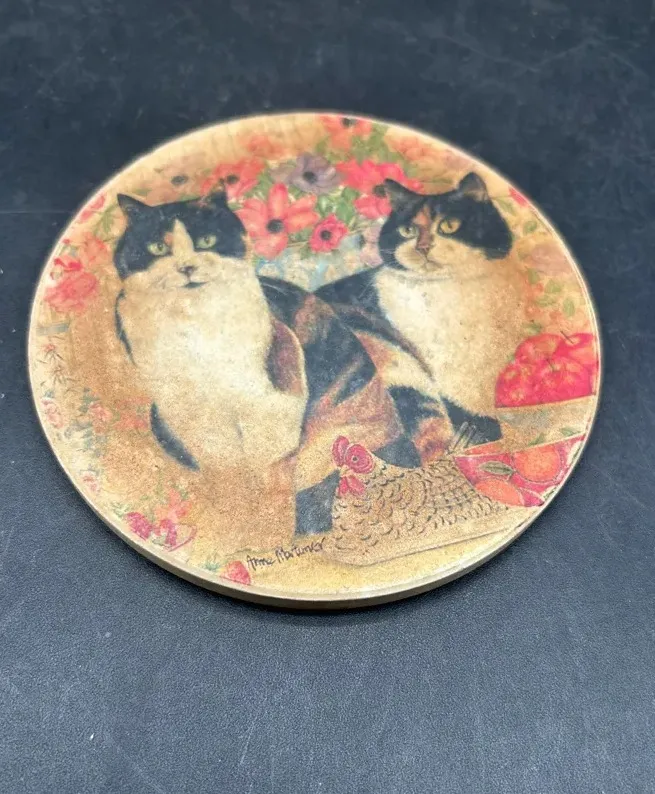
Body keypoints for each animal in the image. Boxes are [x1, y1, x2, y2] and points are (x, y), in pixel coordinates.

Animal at [112, 190, 432, 538]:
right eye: (158, 248)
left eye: (207, 241)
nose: (186, 267)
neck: (193, 322)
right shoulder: (186, 410)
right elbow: (222, 464)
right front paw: (232, 508)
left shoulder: (272, 394)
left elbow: (266, 461)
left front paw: (265, 513)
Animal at [315, 172, 521, 452]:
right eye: (408, 230)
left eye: (449, 225)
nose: (423, 246)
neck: (446, 292)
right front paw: (468, 433)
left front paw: (476, 432)